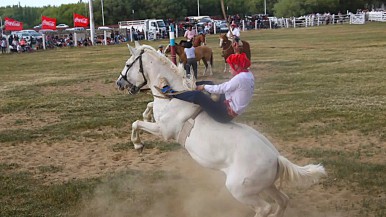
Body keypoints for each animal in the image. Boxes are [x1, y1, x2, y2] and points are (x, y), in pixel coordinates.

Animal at [114, 42, 326, 217]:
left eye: (127, 64)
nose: (119, 83)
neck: (173, 97)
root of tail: (276, 158)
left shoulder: (163, 130)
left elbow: (136, 124)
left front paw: (138, 144)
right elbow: (147, 108)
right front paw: (146, 115)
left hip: (240, 190)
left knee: (265, 208)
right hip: (266, 187)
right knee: (282, 201)